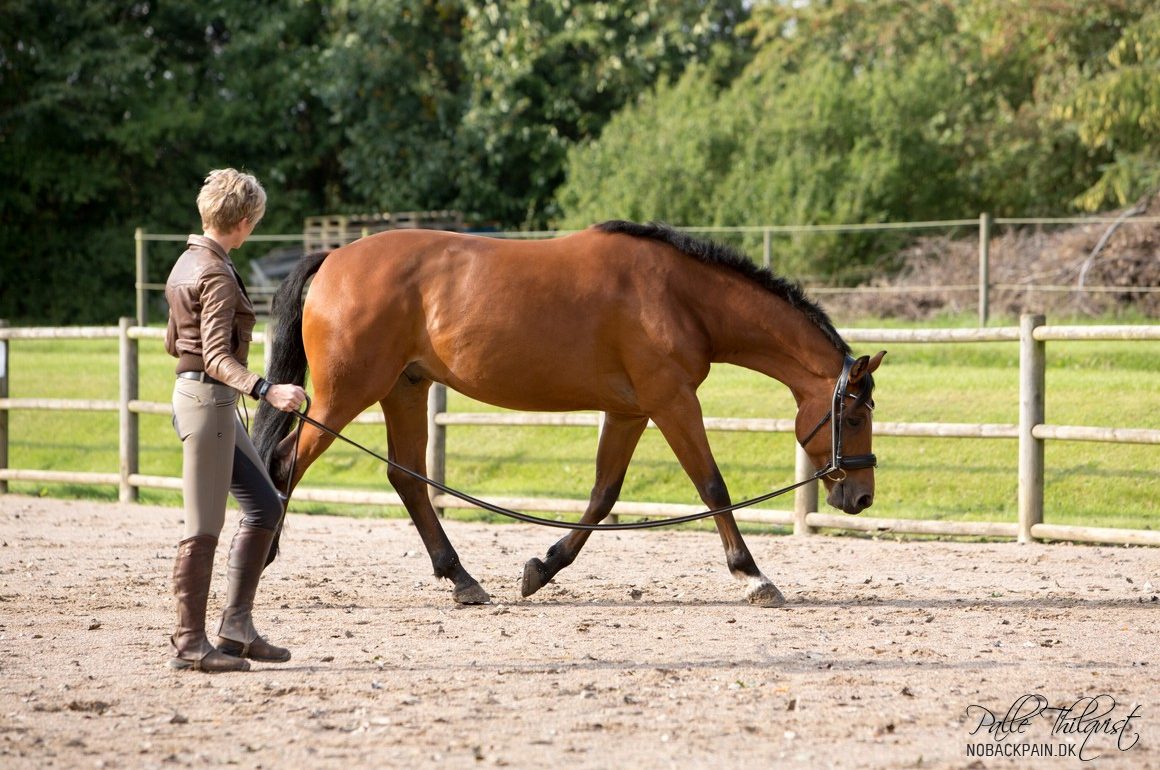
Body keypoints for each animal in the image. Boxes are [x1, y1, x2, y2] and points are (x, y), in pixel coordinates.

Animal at [254, 220, 885, 608]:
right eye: (854, 417)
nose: (861, 497)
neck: (680, 295)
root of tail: (335, 259)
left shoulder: (630, 412)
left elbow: (603, 497)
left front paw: (542, 567)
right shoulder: (673, 401)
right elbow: (712, 486)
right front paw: (753, 576)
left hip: (404, 389)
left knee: (406, 478)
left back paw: (462, 579)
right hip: (346, 395)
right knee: (286, 463)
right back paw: (261, 560)